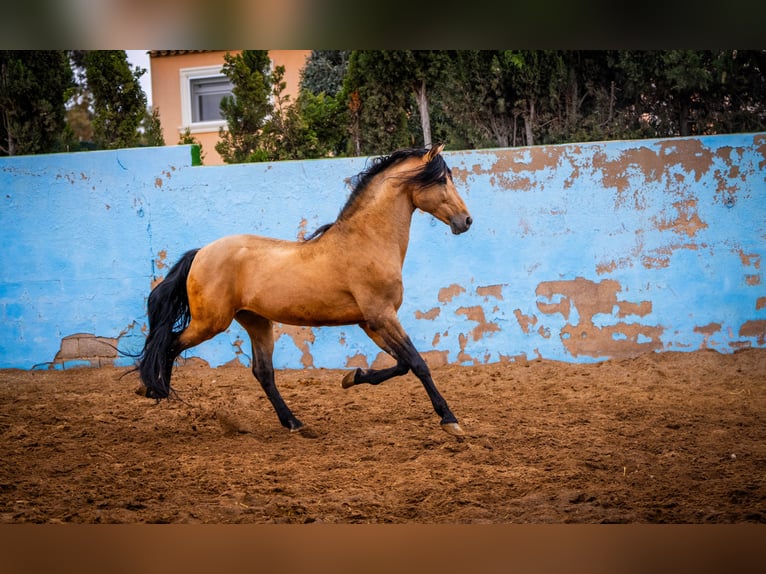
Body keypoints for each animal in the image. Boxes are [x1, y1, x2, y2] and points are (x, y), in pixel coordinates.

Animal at [138, 144, 474, 436]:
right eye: (442, 179)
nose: (466, 220)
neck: (367, 241)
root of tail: (201, 253)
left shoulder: (371, 322)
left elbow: (402, 364)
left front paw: (353, 377)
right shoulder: (382, 316)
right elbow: (418, 363)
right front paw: (450, 420)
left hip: (256, 321)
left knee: (263, 372)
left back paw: (294, 423)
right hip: (211, 322)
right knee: (170, 344)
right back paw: (154, 389)